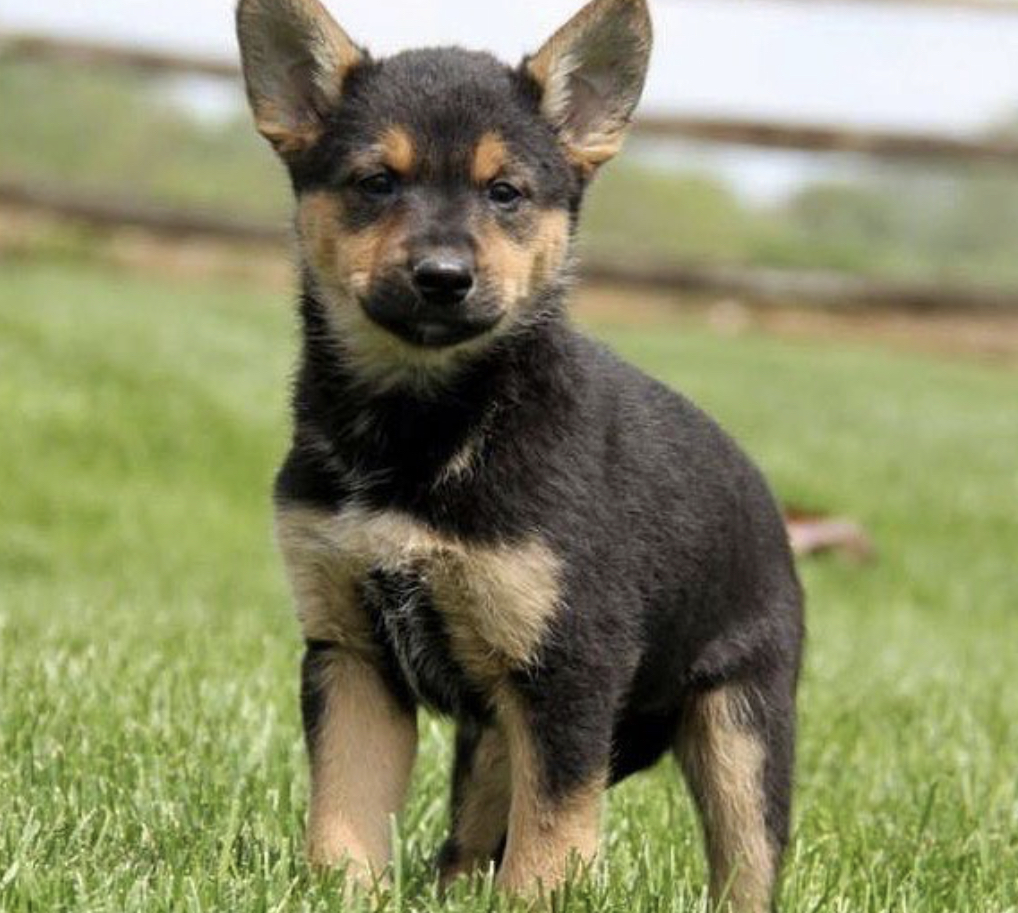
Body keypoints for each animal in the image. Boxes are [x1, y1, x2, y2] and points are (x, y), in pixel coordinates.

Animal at [236, 1, 802, 903]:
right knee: (469, 844)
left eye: (505, 193)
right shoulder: (352, 653)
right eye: (376, 182)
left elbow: (550, 842)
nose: (441, 276)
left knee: (746, 863)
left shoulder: (569, 671)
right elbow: (343, 819)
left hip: (739, 725)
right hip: (497, 736)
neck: (428, 426)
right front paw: (344, 893)